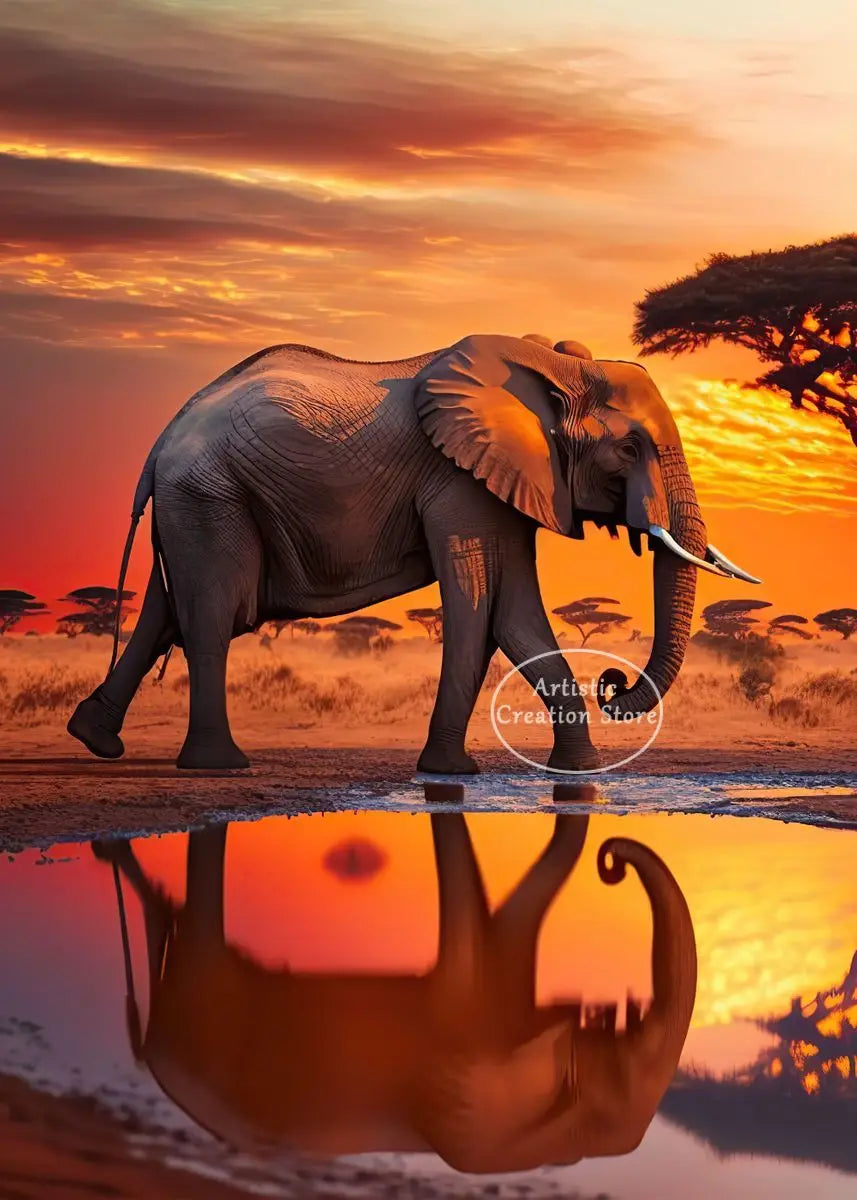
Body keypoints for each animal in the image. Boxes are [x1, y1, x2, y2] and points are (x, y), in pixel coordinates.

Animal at [68, 332, 759, 771]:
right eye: (630, 449)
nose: (612, 685)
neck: (552, 369)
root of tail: (162, 440)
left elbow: (515, 618)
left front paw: (579, 772)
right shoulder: (460, 479)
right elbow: (478, 607)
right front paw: (450, 772)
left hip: (196, 504)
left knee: (166, 612)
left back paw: (96, 739)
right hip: (211, 496)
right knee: (212, 617)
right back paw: (220, 765)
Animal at [93, 793, 697, 1173]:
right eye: (615, 1081)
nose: (611, 859)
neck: (549, 1142)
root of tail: (152, 1058)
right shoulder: (464, 1075)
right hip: (206, 1016)